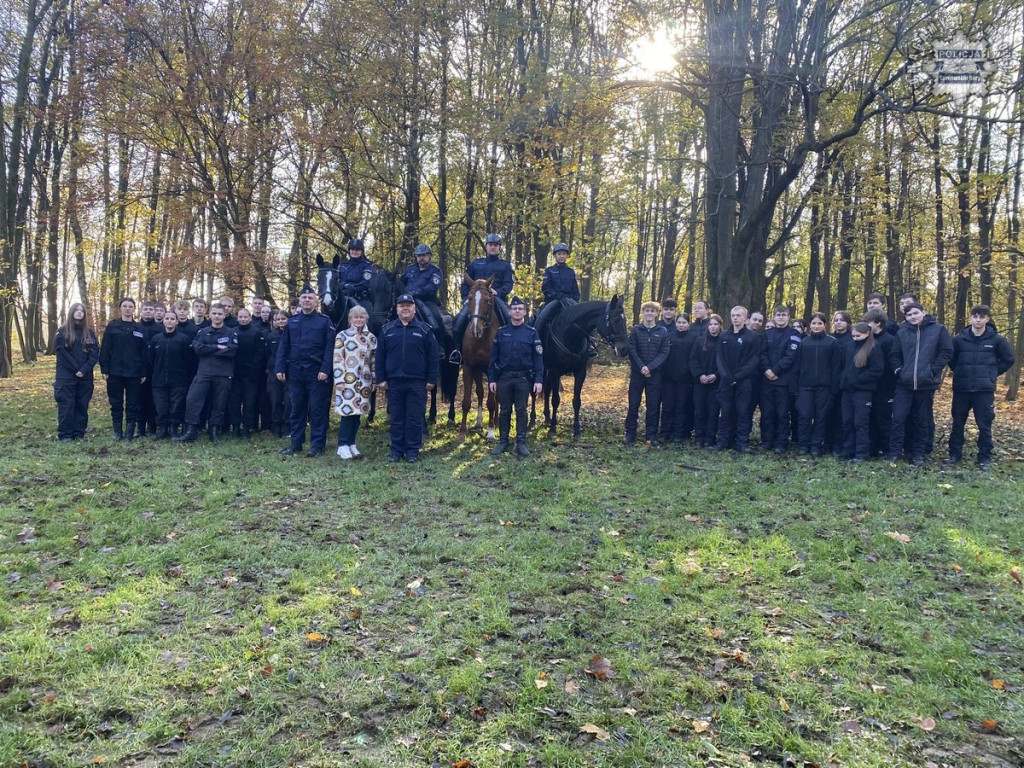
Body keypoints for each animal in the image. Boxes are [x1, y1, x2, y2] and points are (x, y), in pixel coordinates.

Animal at [532, 294, 626, 438]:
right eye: (615, 320)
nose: (624, 349)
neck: (570, 335)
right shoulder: (555, 371)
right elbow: (556, 400)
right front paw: (553, 429)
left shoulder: (580, 372)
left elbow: (576, 401)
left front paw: (576, 429)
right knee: (534, 392)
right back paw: (532, 419)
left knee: (546, 389)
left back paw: (547, 418)